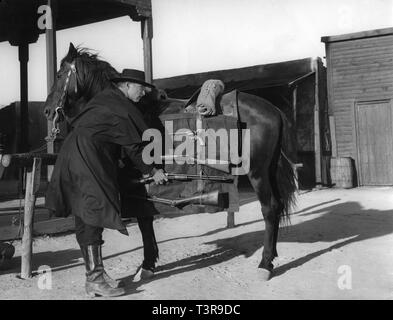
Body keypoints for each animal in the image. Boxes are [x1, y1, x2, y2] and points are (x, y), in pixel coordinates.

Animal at [43, 44, 294, 280]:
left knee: (270, 208)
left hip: (258, 174)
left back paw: (265, 264)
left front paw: (147, 265)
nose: (47, 110)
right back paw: (271, 257)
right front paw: (150, 262)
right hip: (268, 172)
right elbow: (146, 219)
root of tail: (273, 110)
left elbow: (144, 220)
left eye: (59, 74)